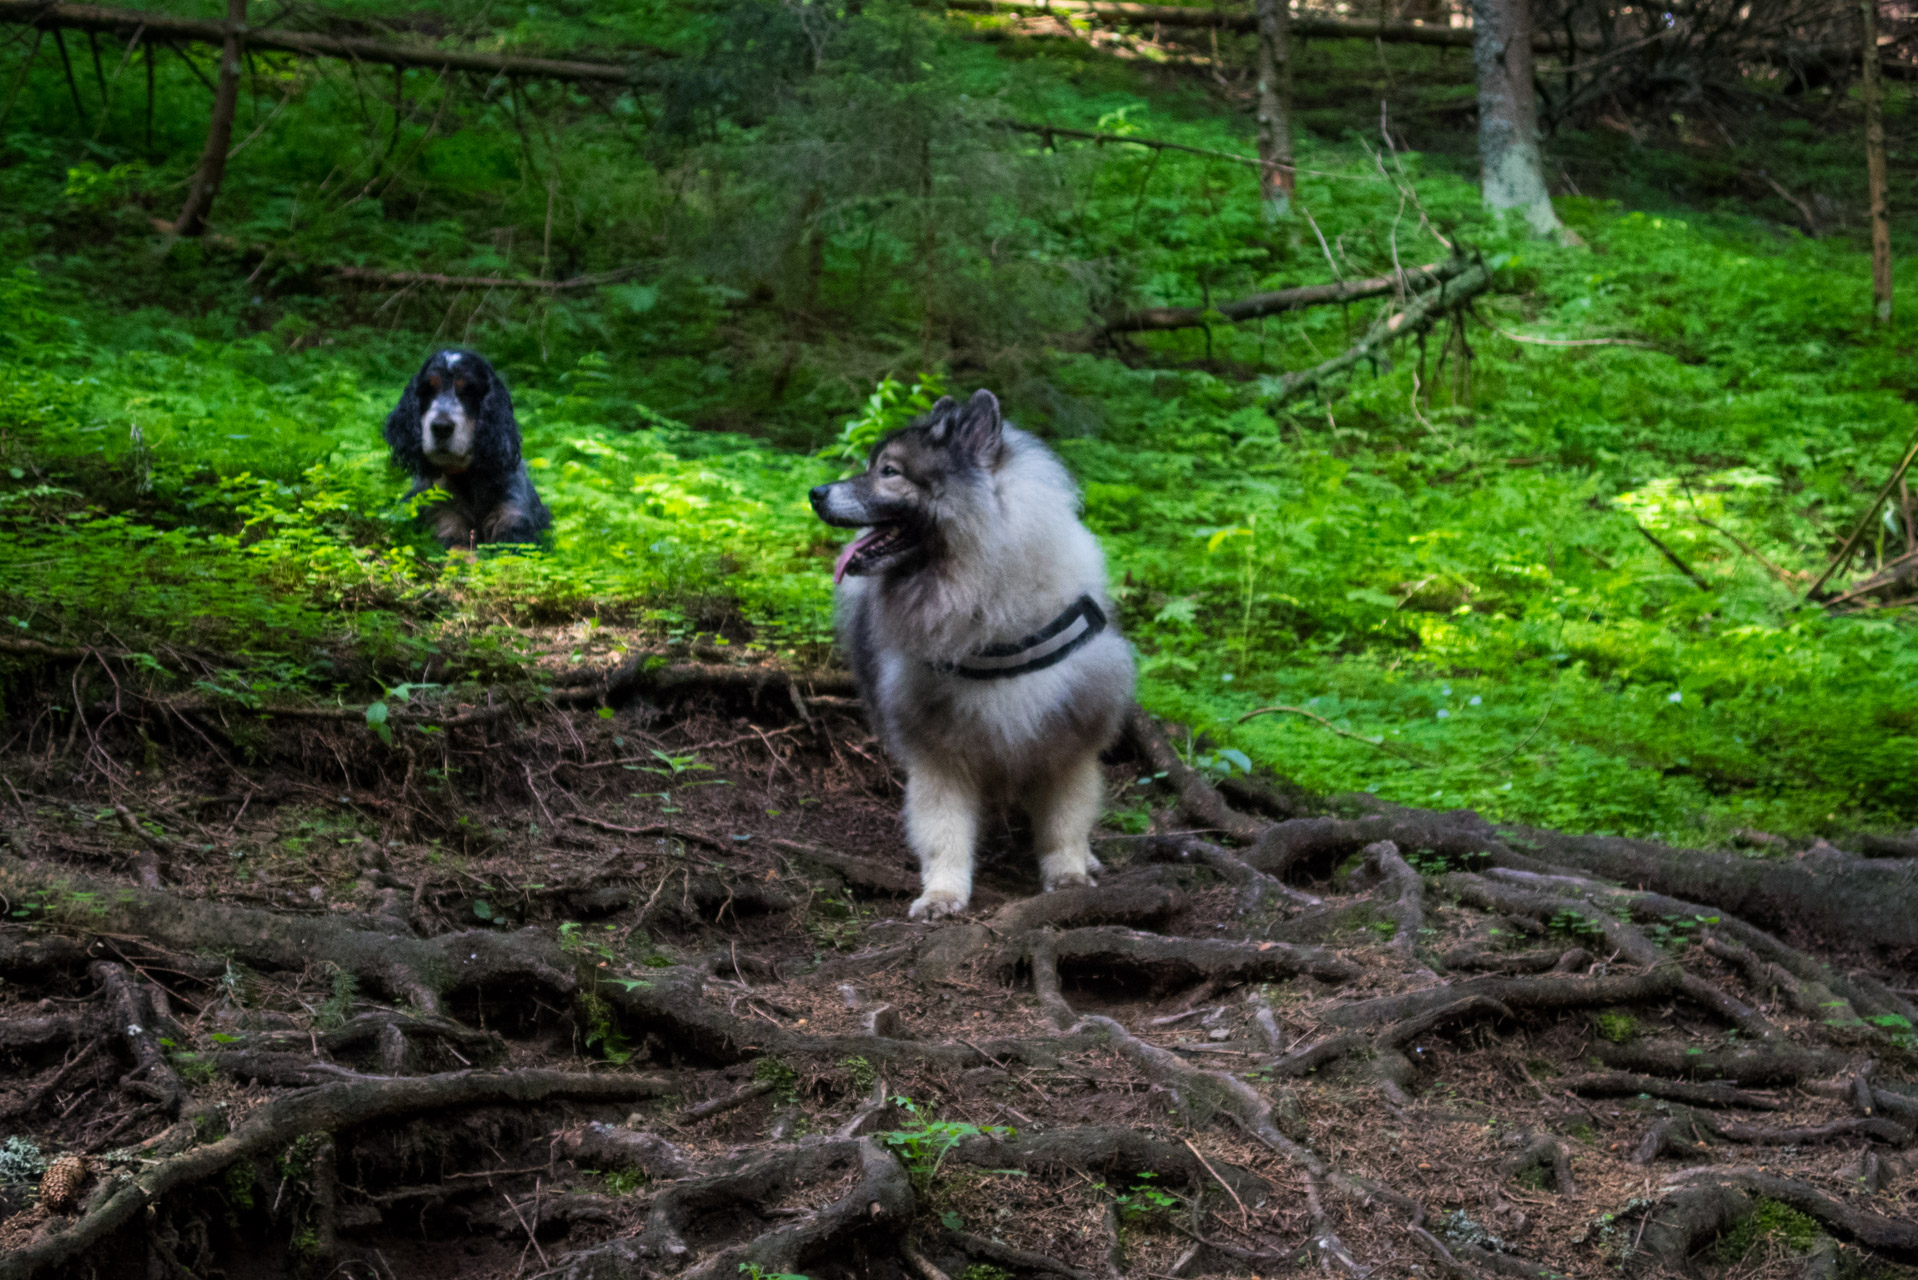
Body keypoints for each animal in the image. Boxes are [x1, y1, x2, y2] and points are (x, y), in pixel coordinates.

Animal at [381, 351, 548, 552]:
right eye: (427, 390)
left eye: (469, 391)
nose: (441, 427)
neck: (466, 479)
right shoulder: (445, 522)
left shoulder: (512, 516)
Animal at [813, 391, 1135, 921]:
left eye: (889, 471)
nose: (815, 493)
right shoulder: (938, 750)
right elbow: (944, 833)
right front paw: (942, 895)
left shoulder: (1069, 736)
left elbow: (1066, 819)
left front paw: (1068, 874)